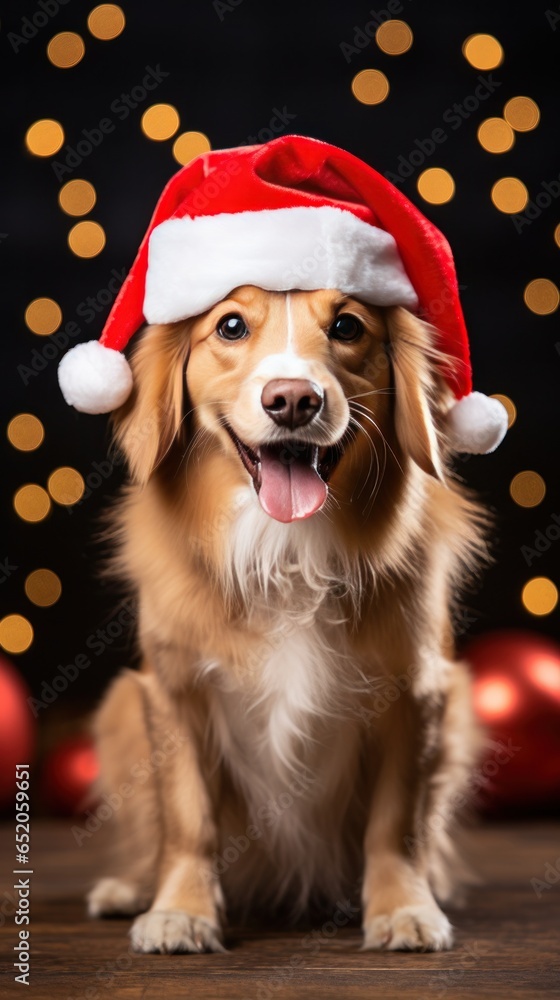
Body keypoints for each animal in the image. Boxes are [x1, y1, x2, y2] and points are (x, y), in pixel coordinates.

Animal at [83, 284, 486, 952]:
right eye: (231, 326)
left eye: (348, 326)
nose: (294, 399)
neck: (285, 548)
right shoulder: (174, 688)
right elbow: (188, 816)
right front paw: (181, 910)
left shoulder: (417, 692)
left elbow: (397, 821)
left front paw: (404, 906)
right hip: (119, 708)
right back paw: (130, 887)